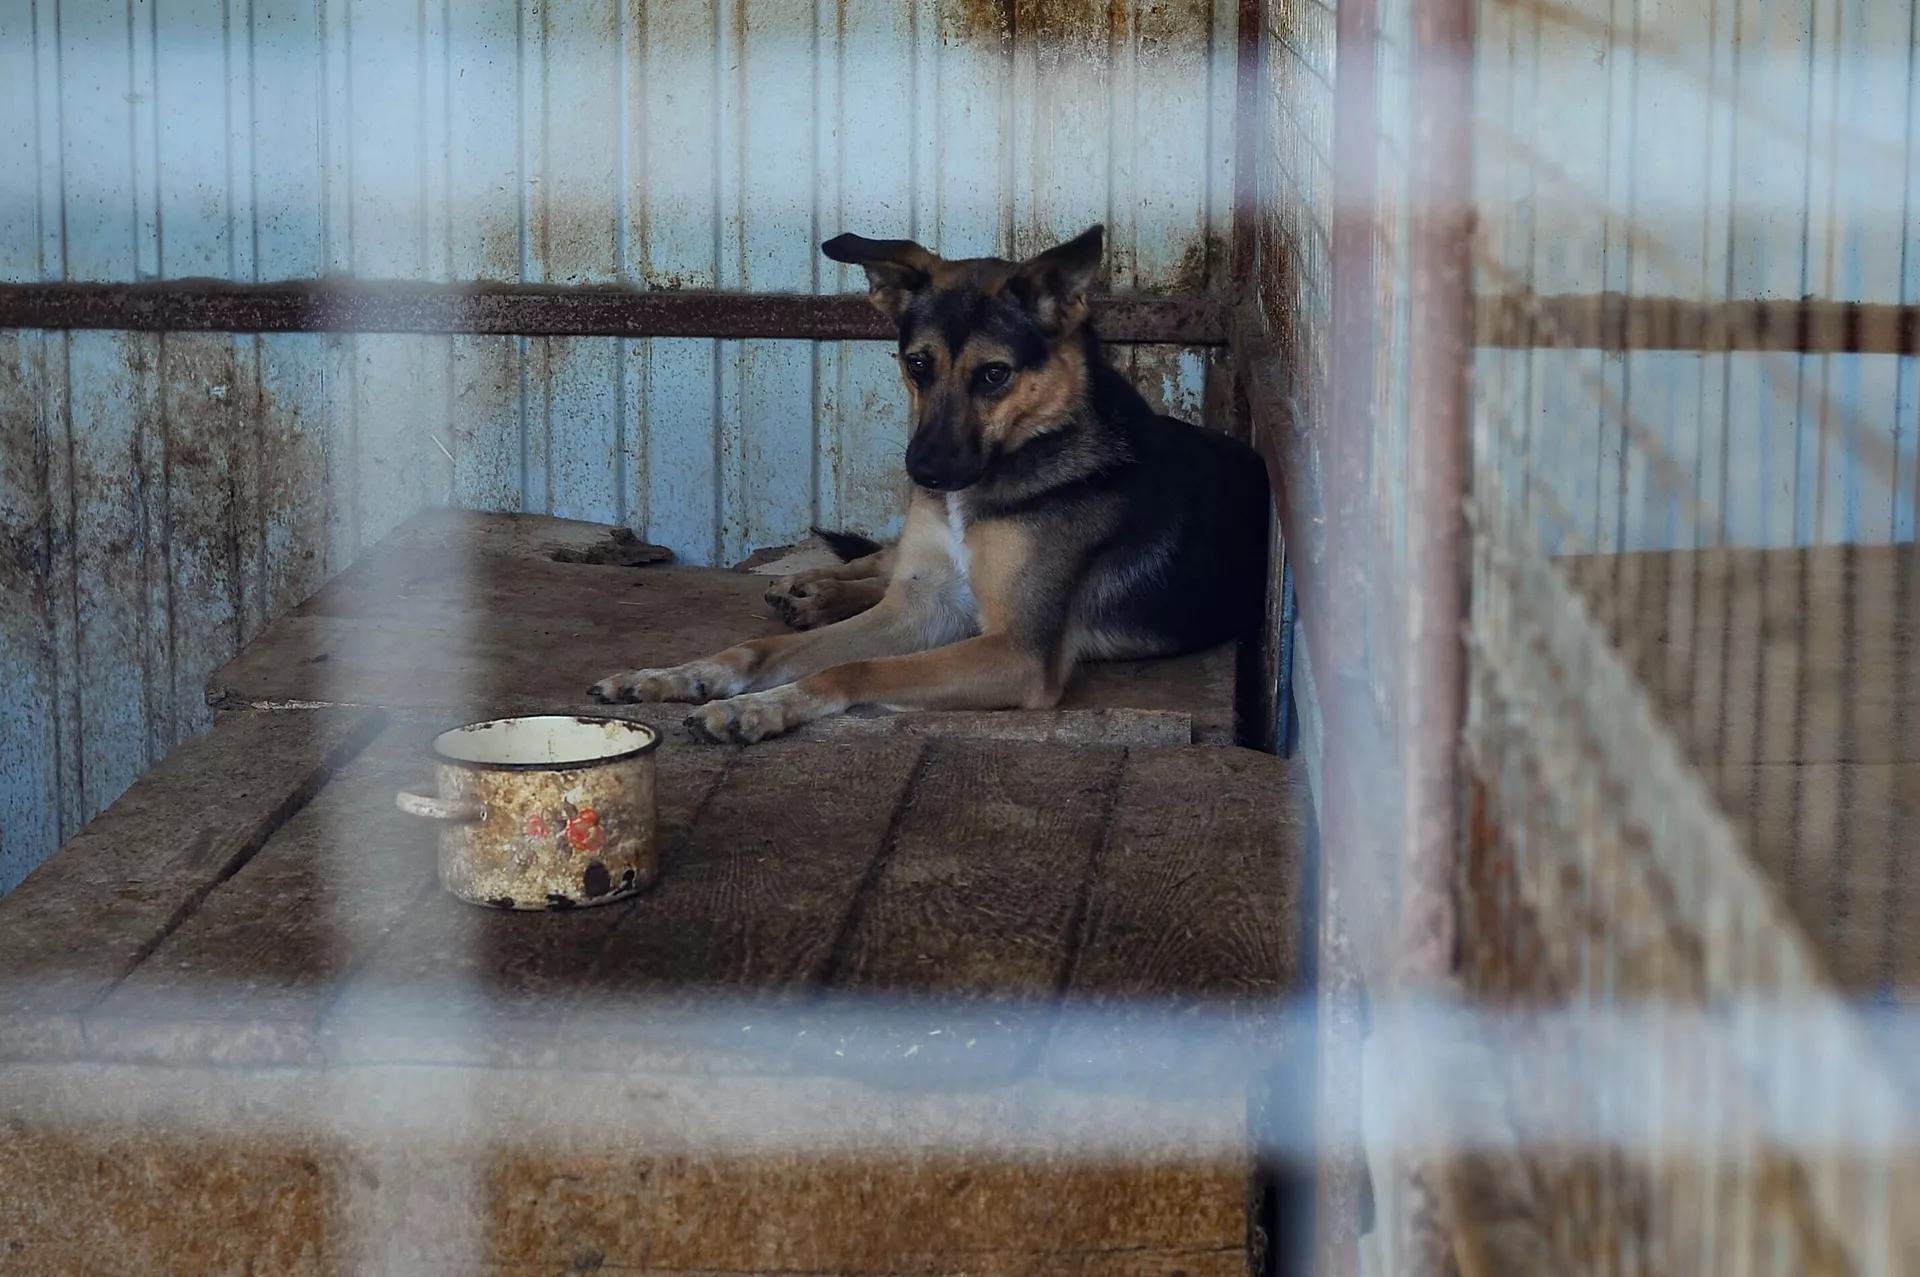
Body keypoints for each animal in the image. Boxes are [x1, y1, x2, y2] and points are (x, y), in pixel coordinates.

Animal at [583, 226, 1274, 748]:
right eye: (917, 364)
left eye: (994, 375)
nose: (925, 474)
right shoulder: (922, 605)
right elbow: (760, 649)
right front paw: (683, 675)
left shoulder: (1015, 652)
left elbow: (852, 666)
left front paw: (759, 706)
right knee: (879, 561)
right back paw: (813, 588)